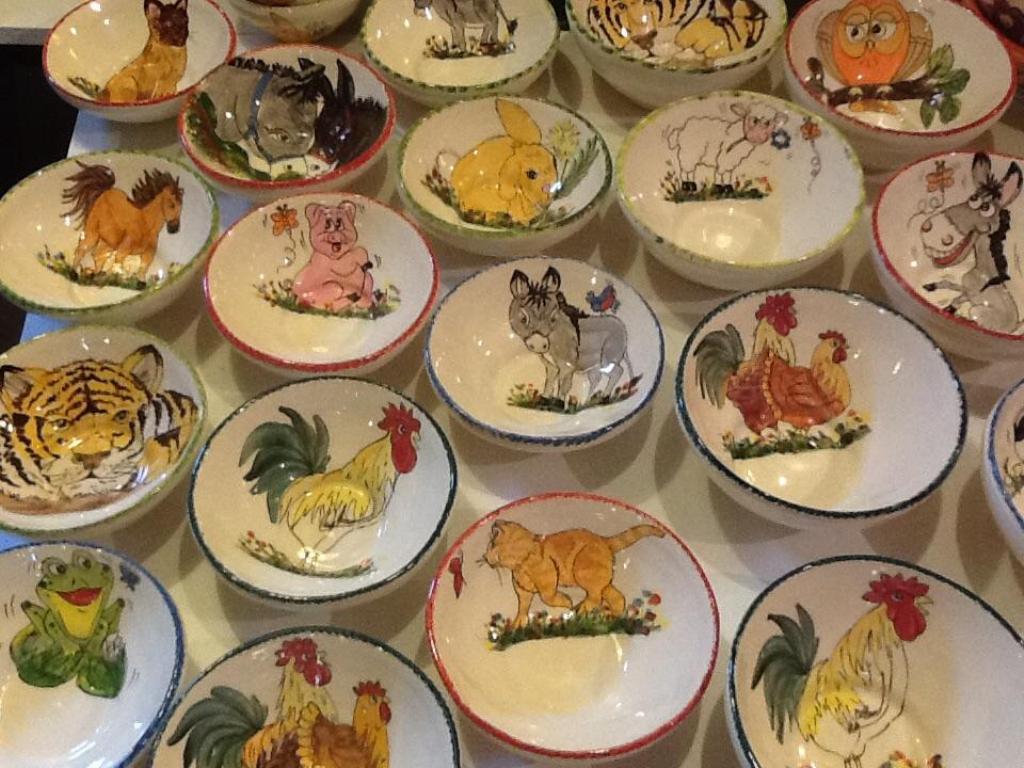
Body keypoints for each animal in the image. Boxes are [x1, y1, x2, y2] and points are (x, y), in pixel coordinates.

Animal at [483, 519, 665, 629]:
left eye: (491, 545)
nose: (484, 557)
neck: (520, 565)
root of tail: (604, 540)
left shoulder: (549, 576)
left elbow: (547, 597)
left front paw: (567, 602)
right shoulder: (523, 591)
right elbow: (523, 607)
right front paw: (518, 623)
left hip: (583, 571)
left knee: (596, 597)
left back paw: (581, 610)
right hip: (600, 579)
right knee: (617, 598)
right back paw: (610, 617)